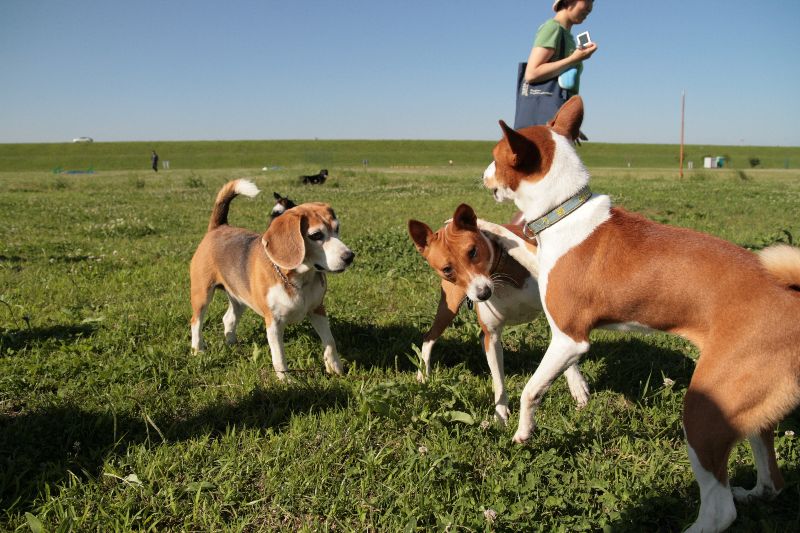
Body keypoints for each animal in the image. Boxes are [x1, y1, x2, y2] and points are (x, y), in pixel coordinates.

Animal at [189, 179, 355, 379]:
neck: (299, 280)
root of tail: (219, 227)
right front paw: (286, 380)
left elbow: (330, 341)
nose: (349, 256)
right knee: (196, 322)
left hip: (240, 298)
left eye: (337, 229)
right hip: (202, 294)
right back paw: (198, 350)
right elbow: (279, 355)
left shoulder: (318, 309)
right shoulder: (273, 322)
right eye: (316, 235)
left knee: (228, 318)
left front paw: (335, 368)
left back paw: (232, 343)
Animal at [408, 203, 590, 423]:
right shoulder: (492, 334)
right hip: (449, 308)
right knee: (429, 337)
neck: (502, 276)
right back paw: (423, 375)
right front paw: (501, 413)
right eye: (447, 269)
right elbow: (498, 380)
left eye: (472, 251)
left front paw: (577, 385)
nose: (483, 293)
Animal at [480, 95, 800, 532]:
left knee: (720, 510)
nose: (482, 175)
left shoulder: (570, 338)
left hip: (705, 409)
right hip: (750, 410)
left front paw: (523, 432)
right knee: (772, 482)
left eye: (496, 157)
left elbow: (532, 390)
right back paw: (753, 492)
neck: (566, 211)